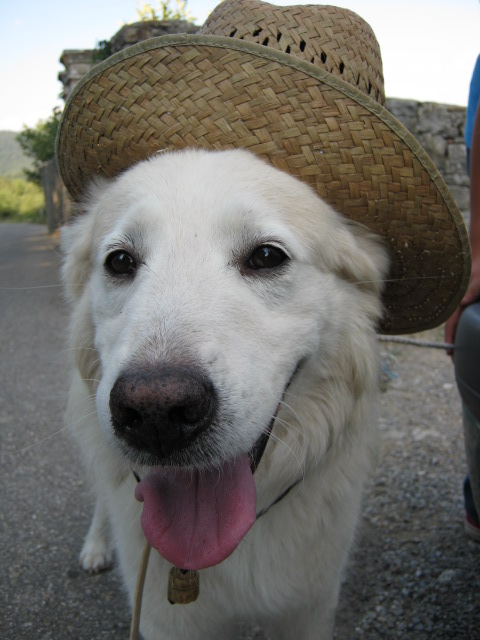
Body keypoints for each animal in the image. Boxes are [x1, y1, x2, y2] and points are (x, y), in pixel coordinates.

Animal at [62, 148, 388, 639]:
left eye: (267, 256)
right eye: (119, 262)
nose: (157, 412)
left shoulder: (309, 608)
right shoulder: (168, 622)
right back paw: (97, 546)